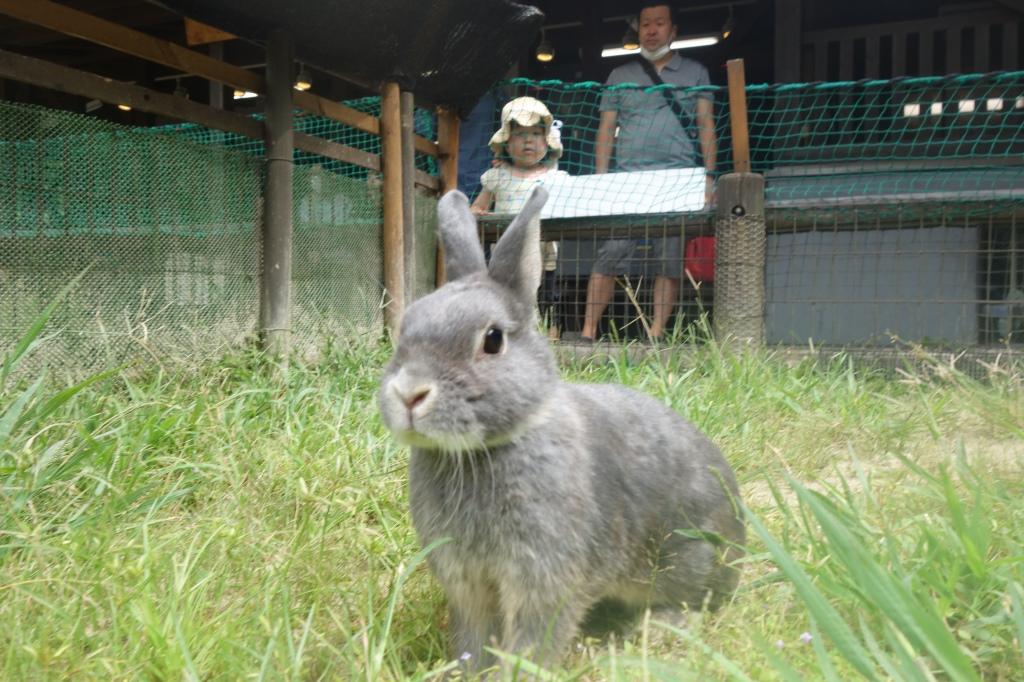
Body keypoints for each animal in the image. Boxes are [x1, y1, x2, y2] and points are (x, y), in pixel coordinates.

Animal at [376, 188, 745, 671]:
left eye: (492, 340)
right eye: (405, 329)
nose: (409, 393)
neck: (482, 451)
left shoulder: (544, 575)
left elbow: (535, 636)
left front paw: (517, 672)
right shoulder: (467, 582)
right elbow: (474, 633)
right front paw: (467, 669)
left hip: (687, 557)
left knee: (701, 599)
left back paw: (659, 626)